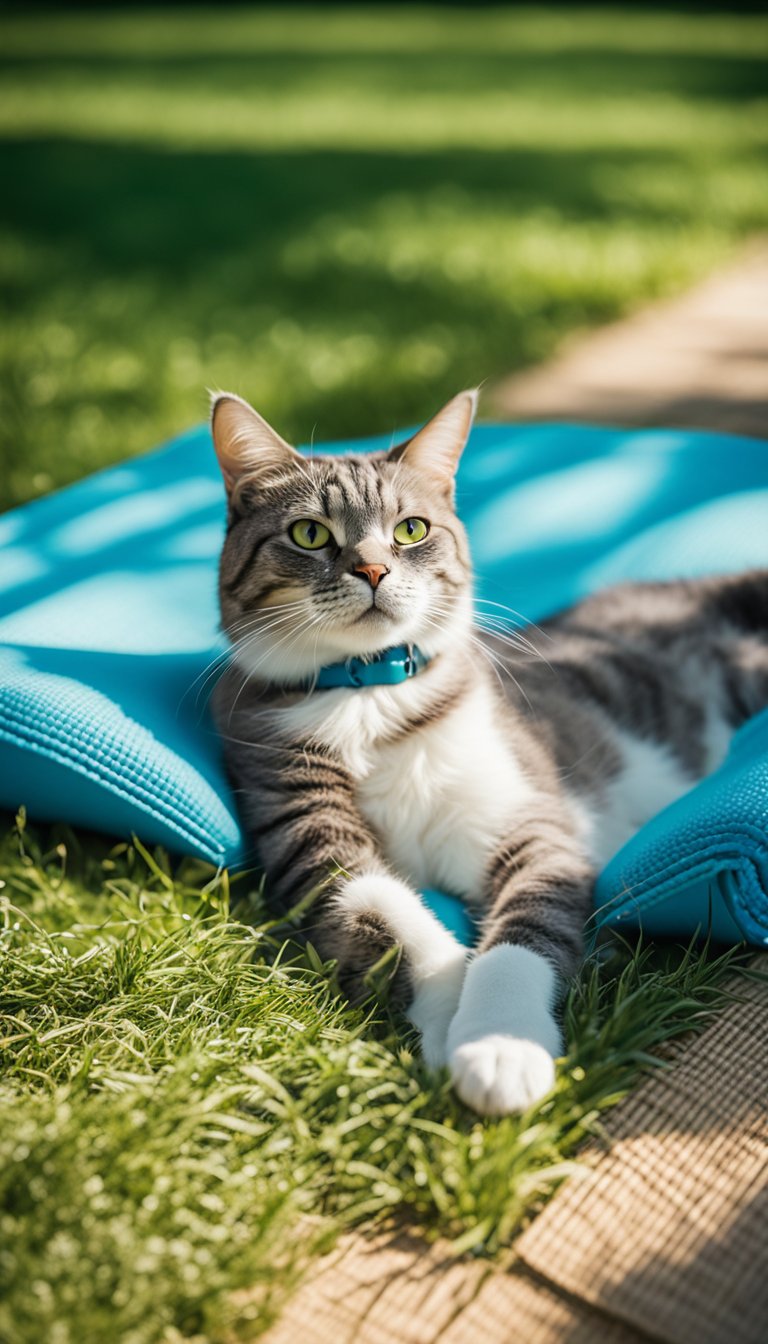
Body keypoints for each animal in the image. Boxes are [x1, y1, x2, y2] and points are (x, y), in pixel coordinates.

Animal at [209, 392, 768, 1118]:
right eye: (309, 534)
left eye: (411, 529)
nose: (372, 569)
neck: (370, 695)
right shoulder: (308, 833)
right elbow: (394, 918)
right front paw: (448, 1020)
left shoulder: (530, 816)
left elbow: (521, 933)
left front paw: (500, 1047)